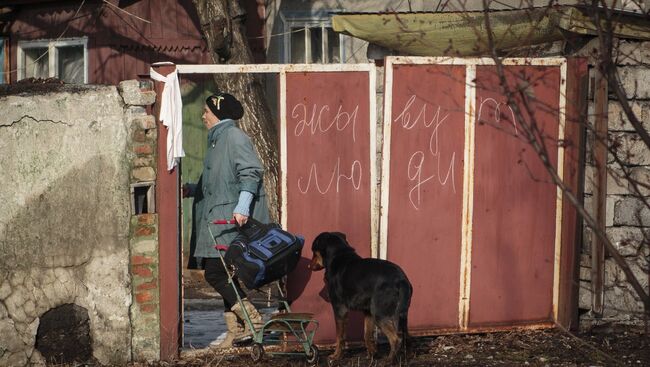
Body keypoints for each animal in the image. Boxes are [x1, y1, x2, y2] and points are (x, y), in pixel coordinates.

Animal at [308, 233, 410, 362]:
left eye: (313, 251)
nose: (309, 266)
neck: (338, 255)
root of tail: (402, 280)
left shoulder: (339, 309)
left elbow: (340, 336)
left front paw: (336, 356)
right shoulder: (367, 312)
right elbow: (366, 334)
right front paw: (372, 354)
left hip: (380, 314)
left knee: (396, 339)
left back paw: (388, 360)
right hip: (401, 313)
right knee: (404, 336)